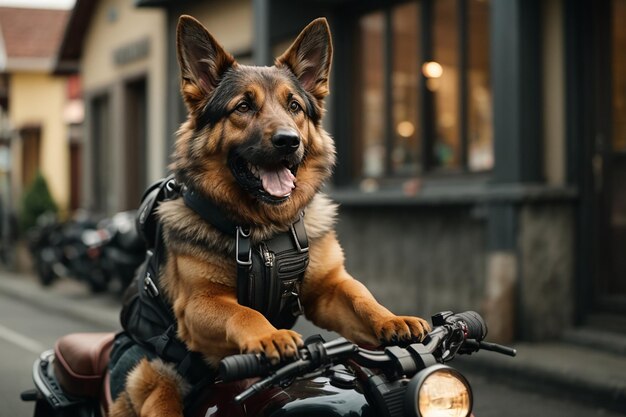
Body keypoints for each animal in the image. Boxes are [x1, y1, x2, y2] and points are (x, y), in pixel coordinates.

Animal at [108, 14, 428, 414]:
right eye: (243, 107)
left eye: (295, 107)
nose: (289, 141)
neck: (263, 229)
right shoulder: (198, 305)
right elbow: (244, 312)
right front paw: (270, 336)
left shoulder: (329, 289)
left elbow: (361, 297)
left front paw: (392, 319)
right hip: (155, 380)